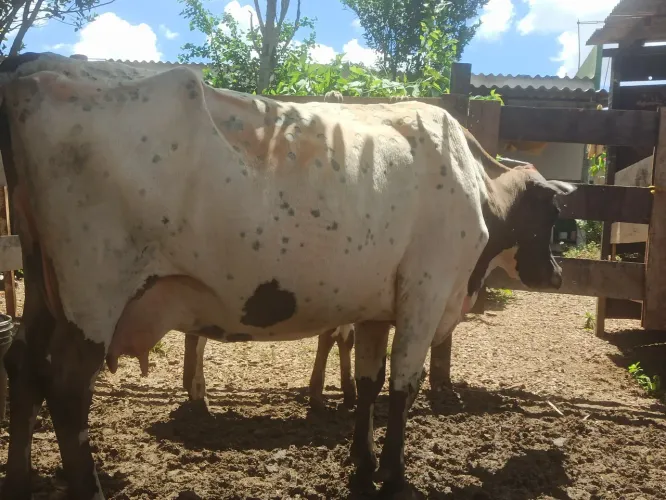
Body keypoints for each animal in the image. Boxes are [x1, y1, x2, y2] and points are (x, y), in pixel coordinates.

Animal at [0, 52, 573, 499]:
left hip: (44, 286)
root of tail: (38, 62)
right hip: (94, 290)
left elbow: (370, 383)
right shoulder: (425, 292)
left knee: (22, 363)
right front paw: (393, 476)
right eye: (552, 214)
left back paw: (19, 480)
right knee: (67, 387)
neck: (471, 181)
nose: (558, 274)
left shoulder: (376, 307)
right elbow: (402, 387)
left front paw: (363, 467)